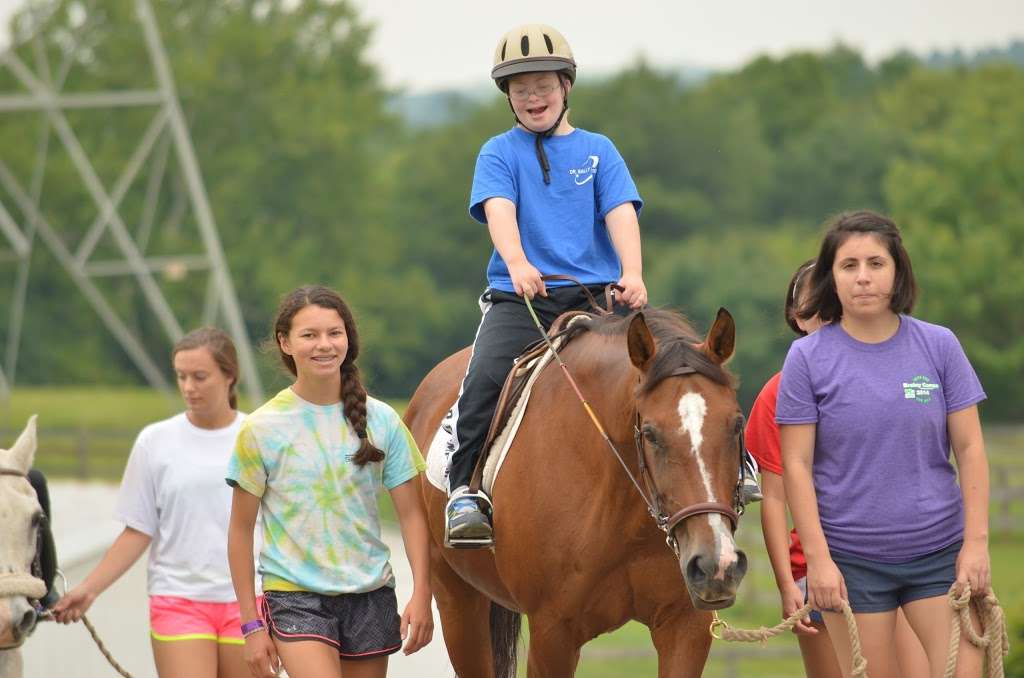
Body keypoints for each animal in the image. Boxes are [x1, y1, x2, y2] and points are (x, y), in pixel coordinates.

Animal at [405, 309, 753, 678]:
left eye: (737, 424)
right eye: (650, 433)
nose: (717, 565)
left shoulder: (685, 626)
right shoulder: (552, 633)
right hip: (457, 601)